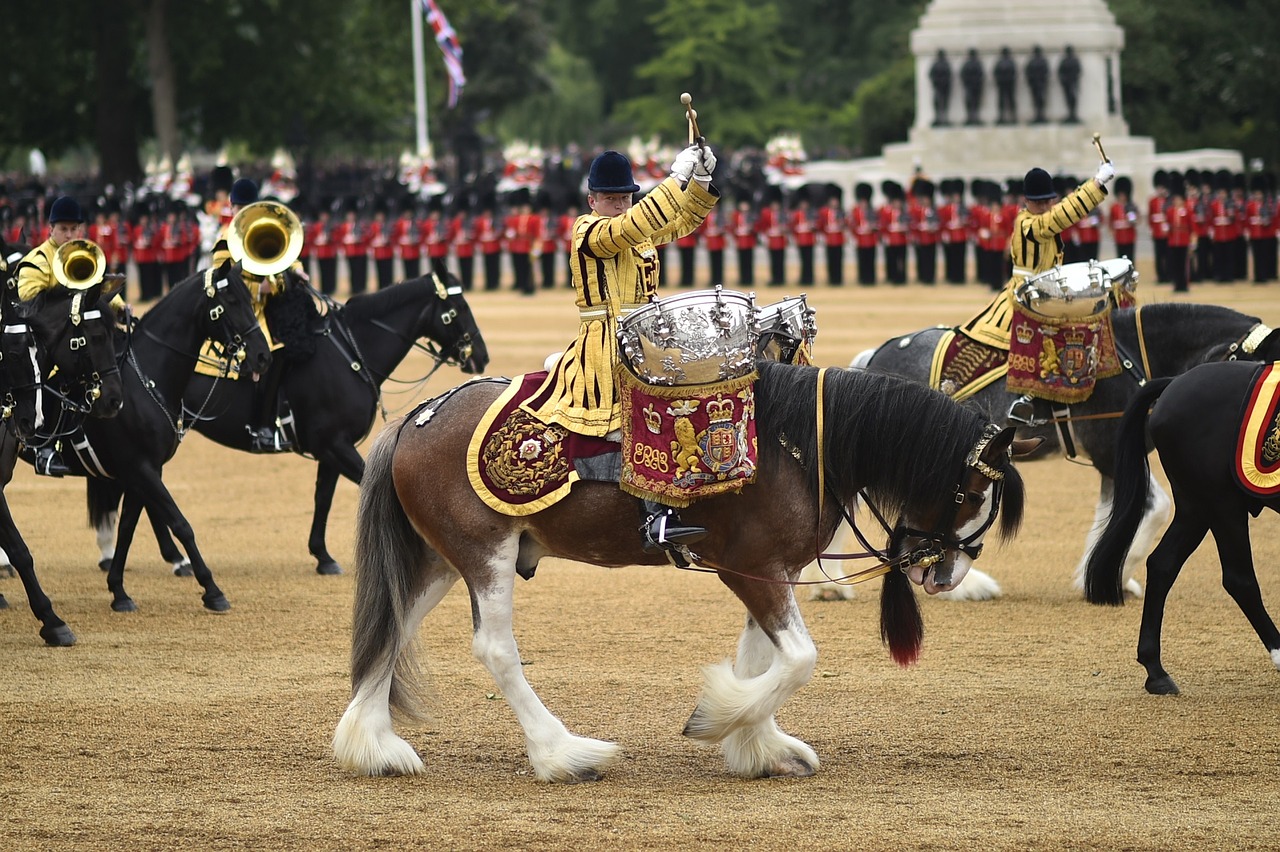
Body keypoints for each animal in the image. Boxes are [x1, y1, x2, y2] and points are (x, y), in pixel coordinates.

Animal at [0, 278, 124, 644]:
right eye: (94, 338)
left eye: (40, 352)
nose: (115, 399)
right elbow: (20, 551)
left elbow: (20, 551)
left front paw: (51, 621)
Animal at [66, 268, 270, 606]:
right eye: (231, 301)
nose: (263, 356)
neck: (144, 381)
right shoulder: (140, 468)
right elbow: (180, 523)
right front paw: (211, 589)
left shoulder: (144, 469)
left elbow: (128, 527)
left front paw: (118, 590)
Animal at [115, 267, 486, 570]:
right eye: (460, 309)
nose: (482, 357)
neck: (350, 353)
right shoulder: (335, 445)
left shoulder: (331, 448)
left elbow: (323, 498)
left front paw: (322, 555)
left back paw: (172, 557)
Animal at [332, 289, 1039, 777]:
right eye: (970, 493)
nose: (945, 572)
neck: (798, 443)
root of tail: (420, 416)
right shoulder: (753, 569)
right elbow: (798, 660)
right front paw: (719, 718)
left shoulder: (765, 570)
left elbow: (764, 658)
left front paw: (758, 745)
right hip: (486, 555)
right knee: (496, 651)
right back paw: (562, 752)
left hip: (439, 560)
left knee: (393, 626)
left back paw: (374, 748)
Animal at [1085, 360, 1280, 695]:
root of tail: (1175, 381)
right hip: (1221, 503)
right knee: (1239, 580)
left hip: (1196, 508)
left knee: (1162, 564)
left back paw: (1155, 671)